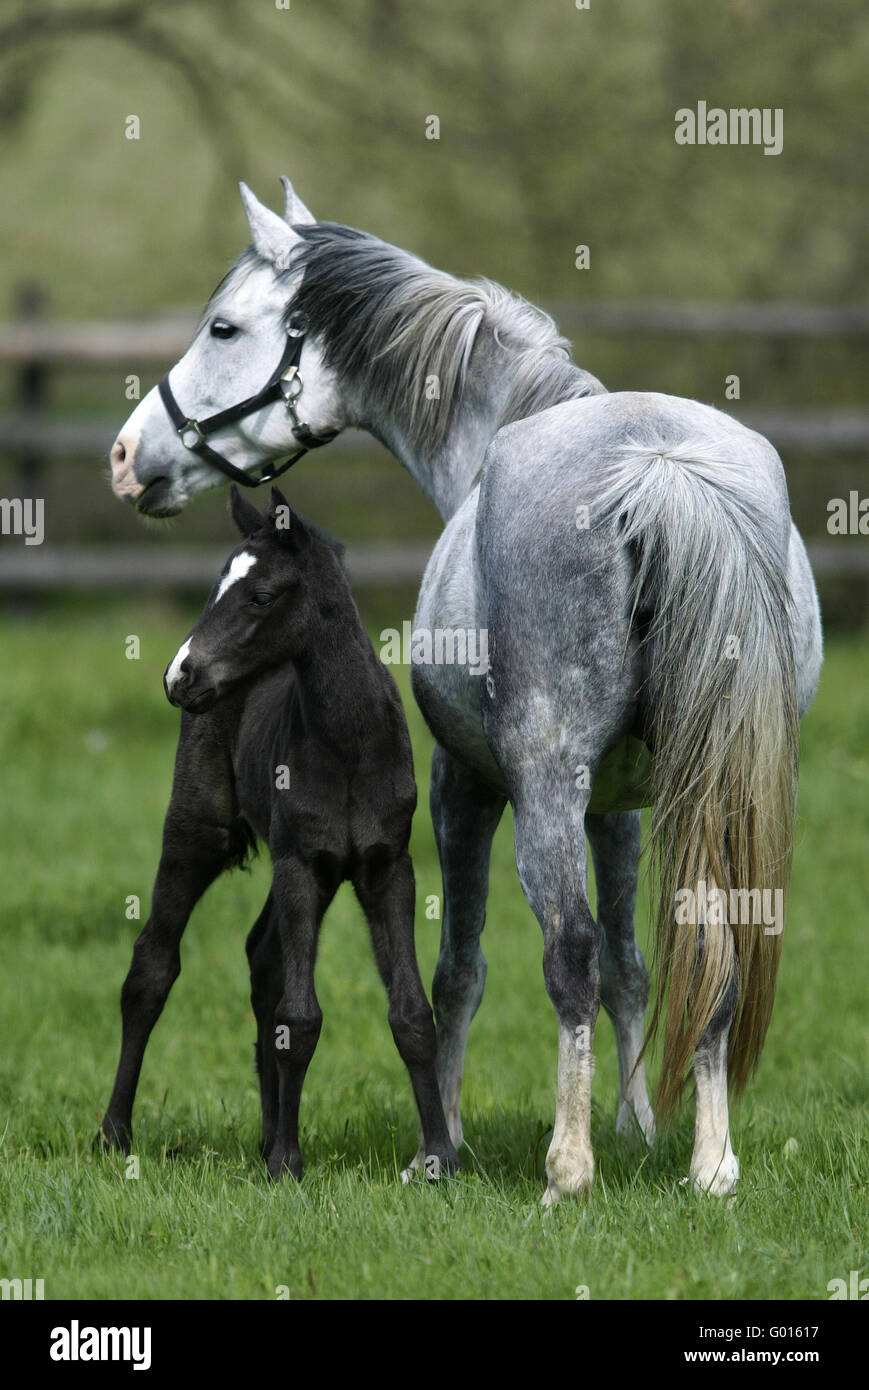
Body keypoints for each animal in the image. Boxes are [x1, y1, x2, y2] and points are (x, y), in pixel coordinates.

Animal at [99, 484, 459, 1182]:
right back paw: (114, 1133)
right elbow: (302, 1016)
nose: (179, 676)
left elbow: (411, 1013)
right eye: (217, 582)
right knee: (152, 966)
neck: (348, 746)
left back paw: (266, 1134)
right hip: (198, 831)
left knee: (261, 956)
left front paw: (438, 1161)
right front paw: (290, 1165)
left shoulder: (386, 866)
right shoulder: (301, 864)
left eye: (261, 596)